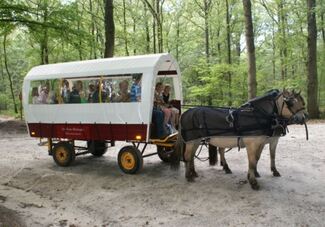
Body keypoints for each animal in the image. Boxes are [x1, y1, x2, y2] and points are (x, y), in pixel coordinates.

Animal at [170, 88, 306, 190]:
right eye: (291, 102)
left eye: (302, 102)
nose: (304, 117)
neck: (257, 116)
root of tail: (185, 113)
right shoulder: (253, 143)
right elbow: (252, 161)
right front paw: (253, 181)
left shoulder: (261, 142)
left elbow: (257, 159)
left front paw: (253, 174)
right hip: (192, 140)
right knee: (188, 156)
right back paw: (189, 176)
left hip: (196, 140)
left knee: (192, 156)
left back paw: (194, 173)